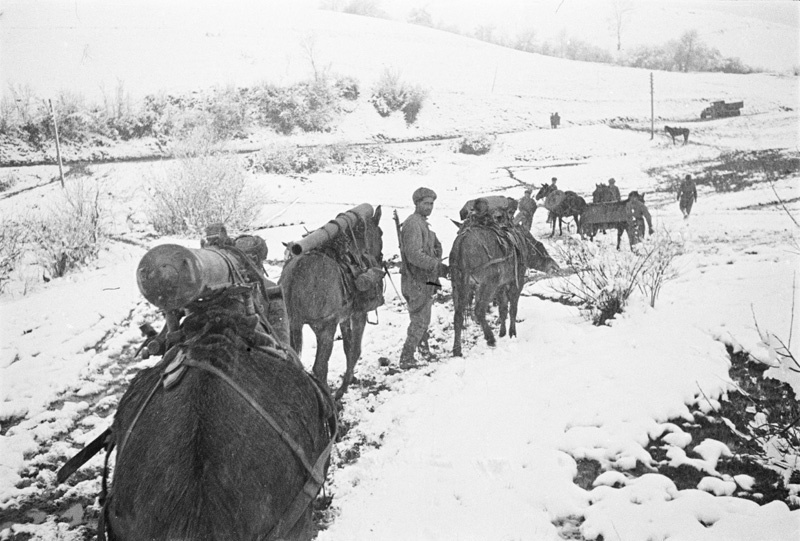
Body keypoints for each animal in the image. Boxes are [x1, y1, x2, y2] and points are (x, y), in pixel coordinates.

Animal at [280, 205, 382, 398]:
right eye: (380, 232)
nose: (378, 257)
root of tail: (295, 272)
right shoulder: (358, 315)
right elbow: (355, 350)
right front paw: (344, 387)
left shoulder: (344, 318)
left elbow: (348, 347)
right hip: (325, 328)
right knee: (319, 368)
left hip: (294, 326)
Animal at [450, 226, 556, 356]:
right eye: (541, 246)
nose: (554, 265)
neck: (523, 244)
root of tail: (461, 244)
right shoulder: (517, 281)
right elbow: (512, 309)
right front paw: (512, 332)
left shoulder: (501, 286)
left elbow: (503, 309)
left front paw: (502, 332)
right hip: (487, 284)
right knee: (479, 310)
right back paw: (490, 338)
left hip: (459, 285)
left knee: (458, 315)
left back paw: (457, 349)